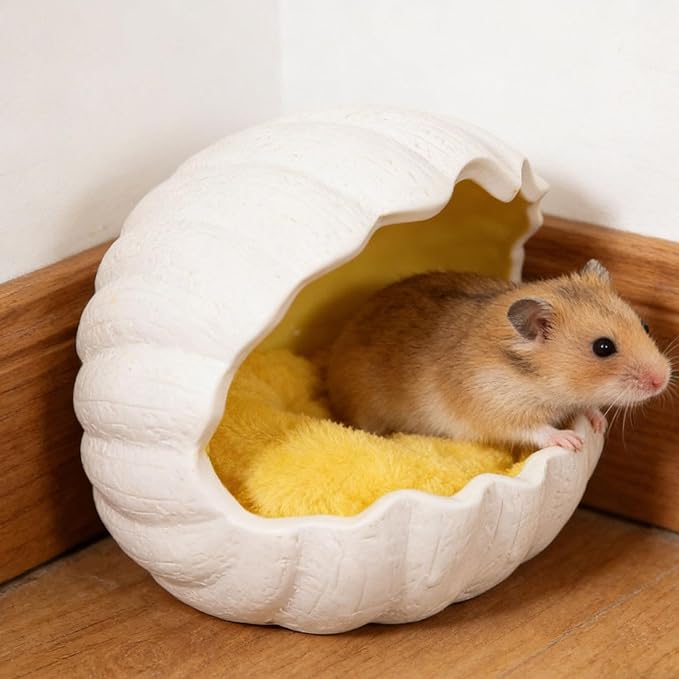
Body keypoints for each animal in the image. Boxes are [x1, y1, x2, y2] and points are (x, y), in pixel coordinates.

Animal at [326, 260, 671, 451]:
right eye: (603, 347)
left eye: (644, 325)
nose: (663, 379)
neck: (534, 378)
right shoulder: (494, 408)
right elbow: (534, 428)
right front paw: (572, 442)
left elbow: (586, 406)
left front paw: (598, 423)